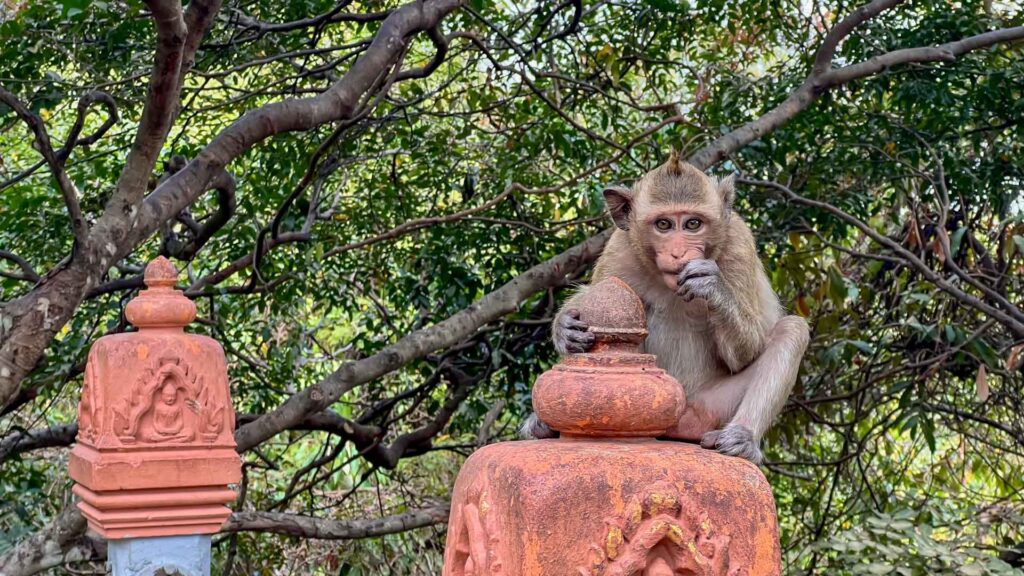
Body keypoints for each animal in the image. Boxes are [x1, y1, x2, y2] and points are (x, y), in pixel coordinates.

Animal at [523, 152, 810, 465]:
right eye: (663, 225)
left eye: (693, 224)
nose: (678, 253)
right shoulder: (619, 250)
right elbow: (597, 300)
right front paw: (564, 327)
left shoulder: (738, 244)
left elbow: (747, 353)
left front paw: (713, 287)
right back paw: (545, 425)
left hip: (712, 408)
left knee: (792, 329)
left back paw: (742, 438)